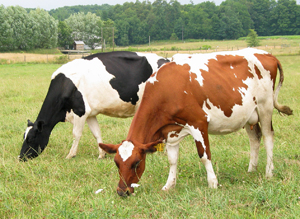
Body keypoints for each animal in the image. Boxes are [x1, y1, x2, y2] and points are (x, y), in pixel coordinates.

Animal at [19, 51, 169, 161]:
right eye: (24, 136)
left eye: (31, 138)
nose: (20, 157)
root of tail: (166, 59)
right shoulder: (90, 113)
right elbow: (96, 133)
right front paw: (101, 154)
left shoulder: (80, 110)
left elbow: (76, 134)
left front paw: (70, 155)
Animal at [99, 48, 292, 196]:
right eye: (116, 163)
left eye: (137, 163)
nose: (122, 191)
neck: (166, 89)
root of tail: (266, 54)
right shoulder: (170, 131)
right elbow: (172, 160)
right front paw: (169, 185)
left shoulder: (199, 123)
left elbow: (204, 156)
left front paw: (213, 183)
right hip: (248, 115)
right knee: (255, 138)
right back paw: (252, 169)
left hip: (265, 107)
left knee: (268, 137)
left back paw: (268, 172)